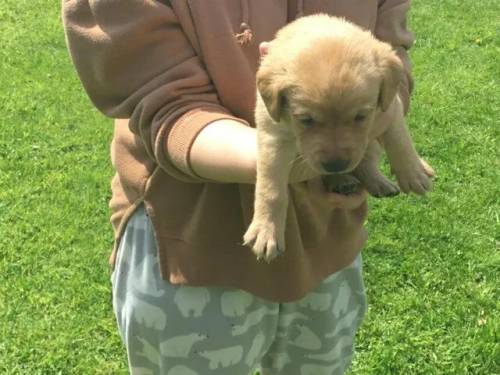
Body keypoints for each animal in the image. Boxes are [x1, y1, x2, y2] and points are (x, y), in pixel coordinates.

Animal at [242, 13, 434, 262]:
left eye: (361, 116)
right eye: (306, 119)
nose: (336, 164)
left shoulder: (390, 108)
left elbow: (400, 139)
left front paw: (414, 173)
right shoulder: (273, 134)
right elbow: (271, 187)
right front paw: (266, 231)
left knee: (366, 162)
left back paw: (377, 181)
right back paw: (342, 180)